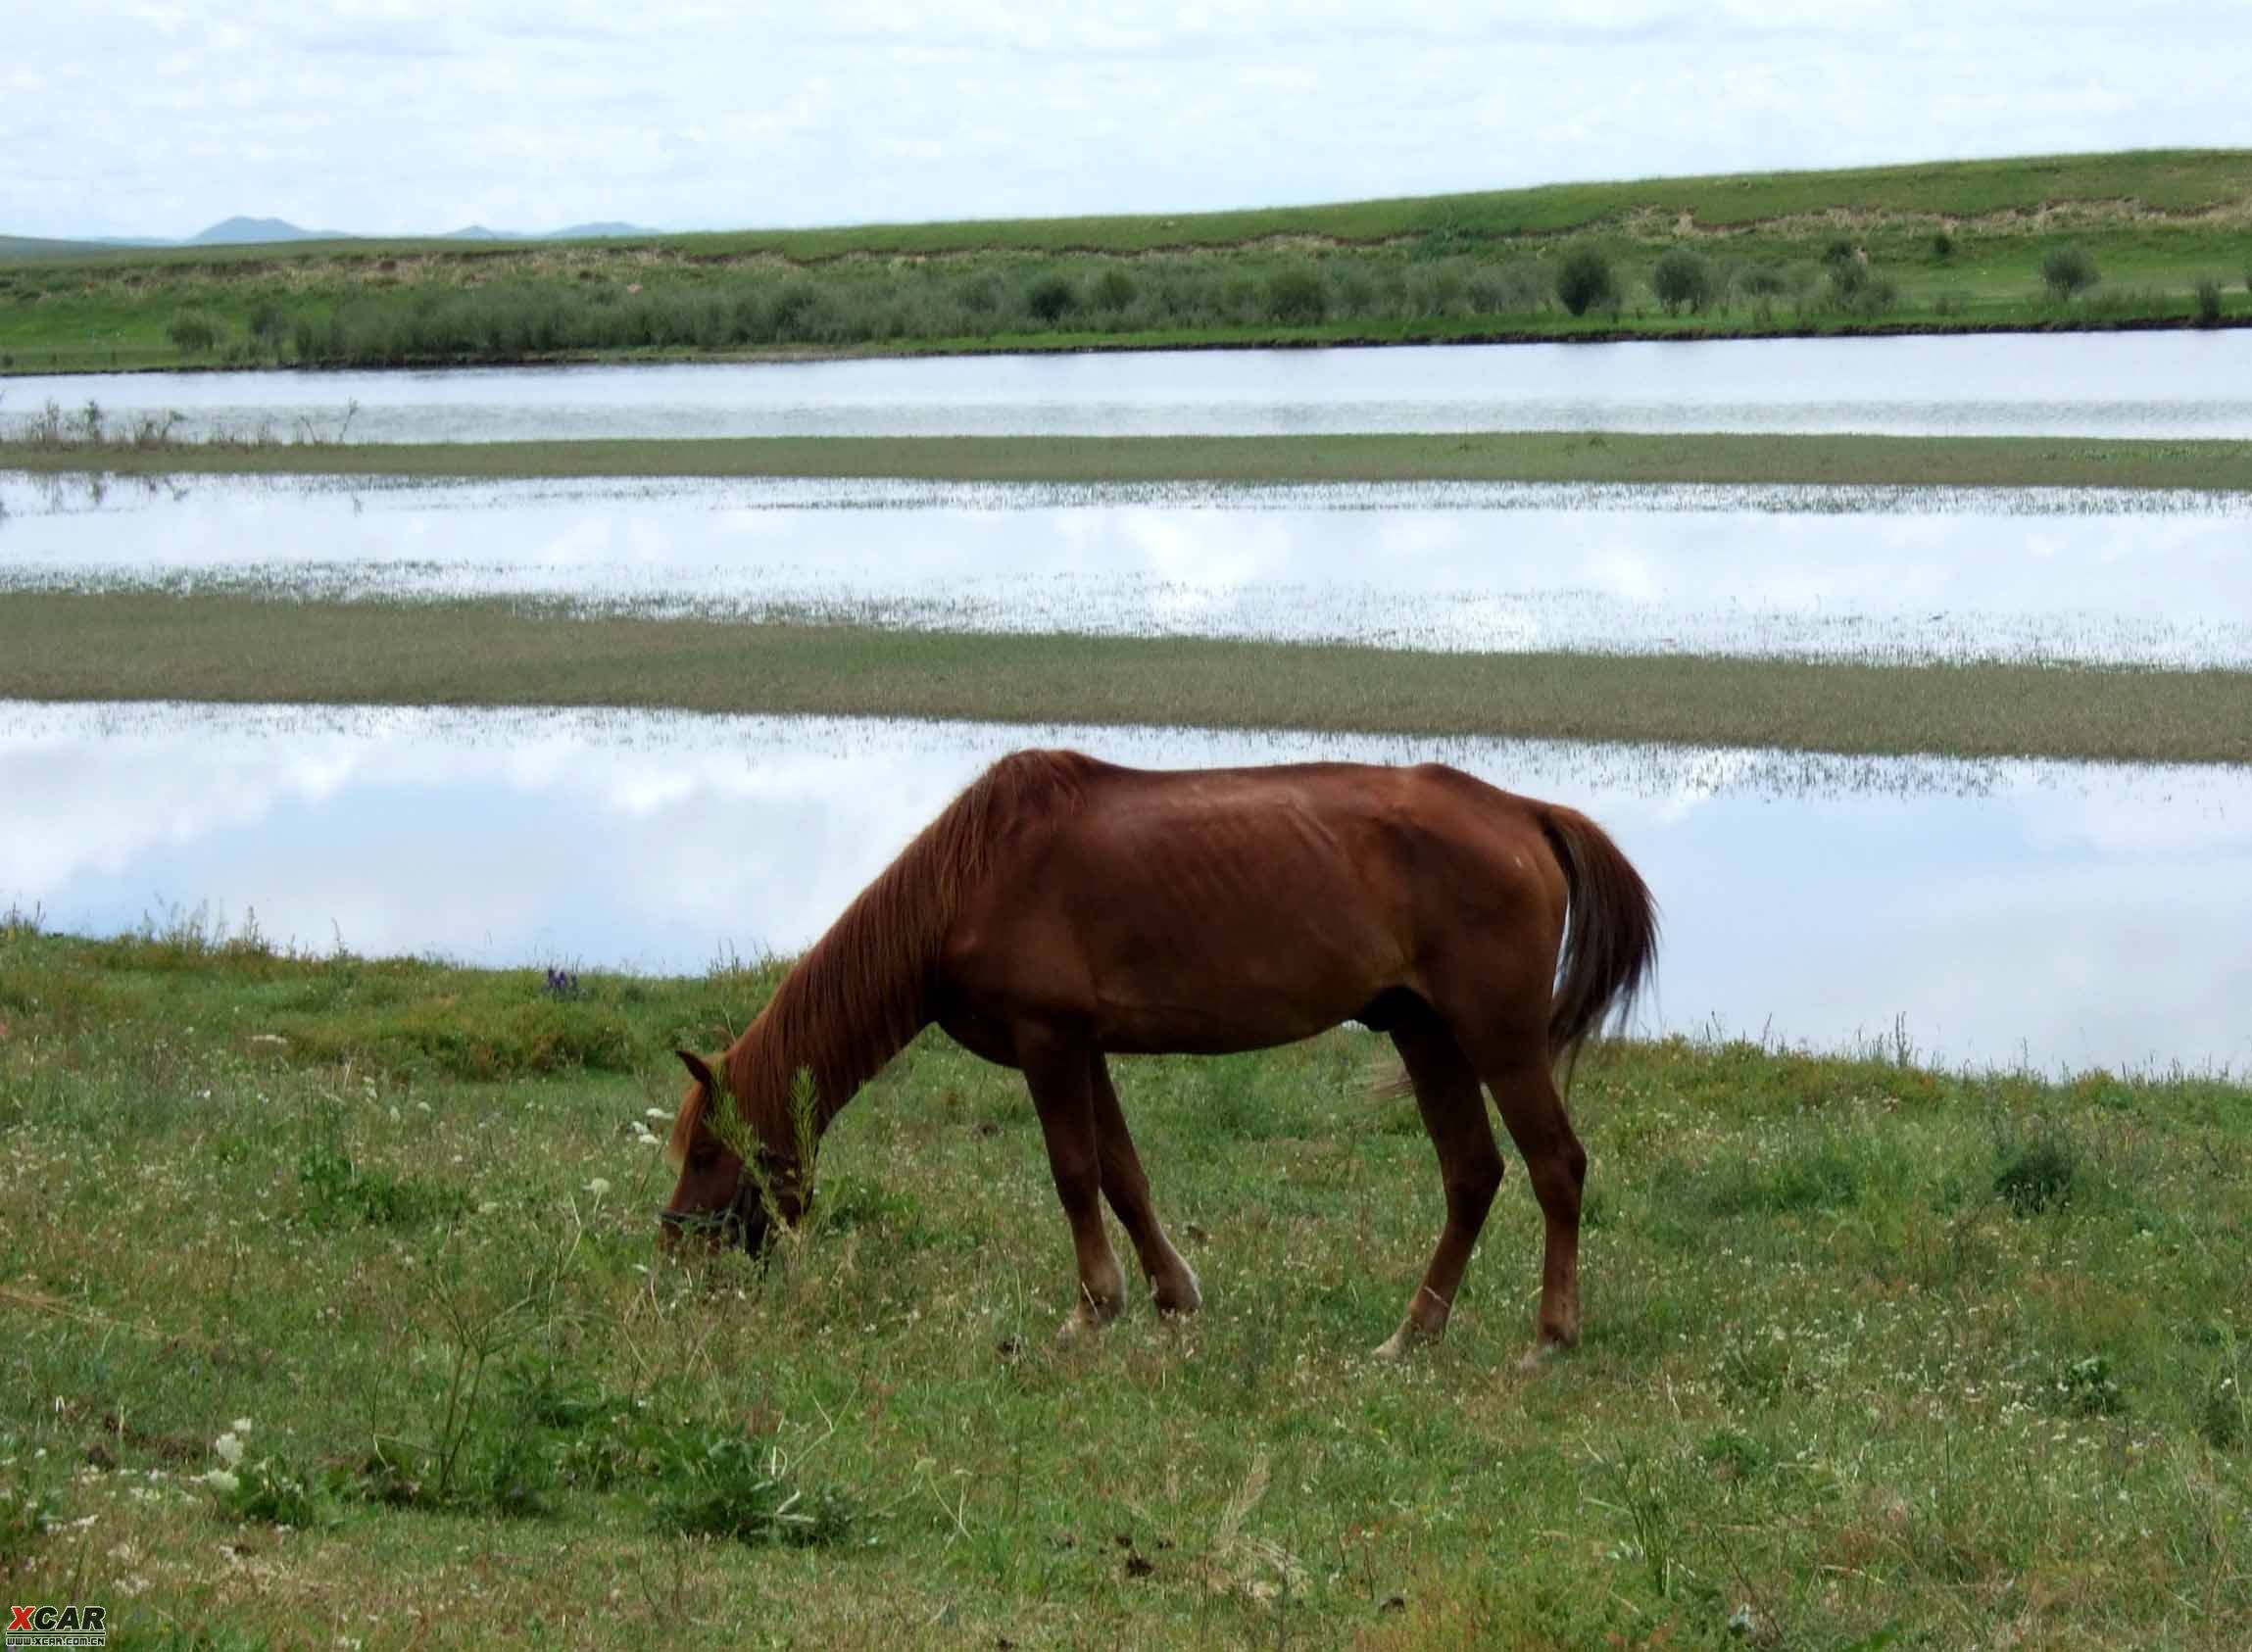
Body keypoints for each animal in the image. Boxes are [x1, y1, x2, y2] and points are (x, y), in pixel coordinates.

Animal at [658, 755, 1657, 1368]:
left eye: (707, 1152)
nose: (677, 1252)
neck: (967, 885)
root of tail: (1526, 813)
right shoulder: (1083, 1046)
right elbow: (1123, 1176)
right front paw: (1171, 1295)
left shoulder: (1048, 1041)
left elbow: (1073, 1173)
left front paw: (1092, 1307)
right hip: (1425, 1033)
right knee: (1473, 1175)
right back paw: (1410, 1337)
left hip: (1497, 1037)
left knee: (1555, 1166)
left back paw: (1550, 1336)